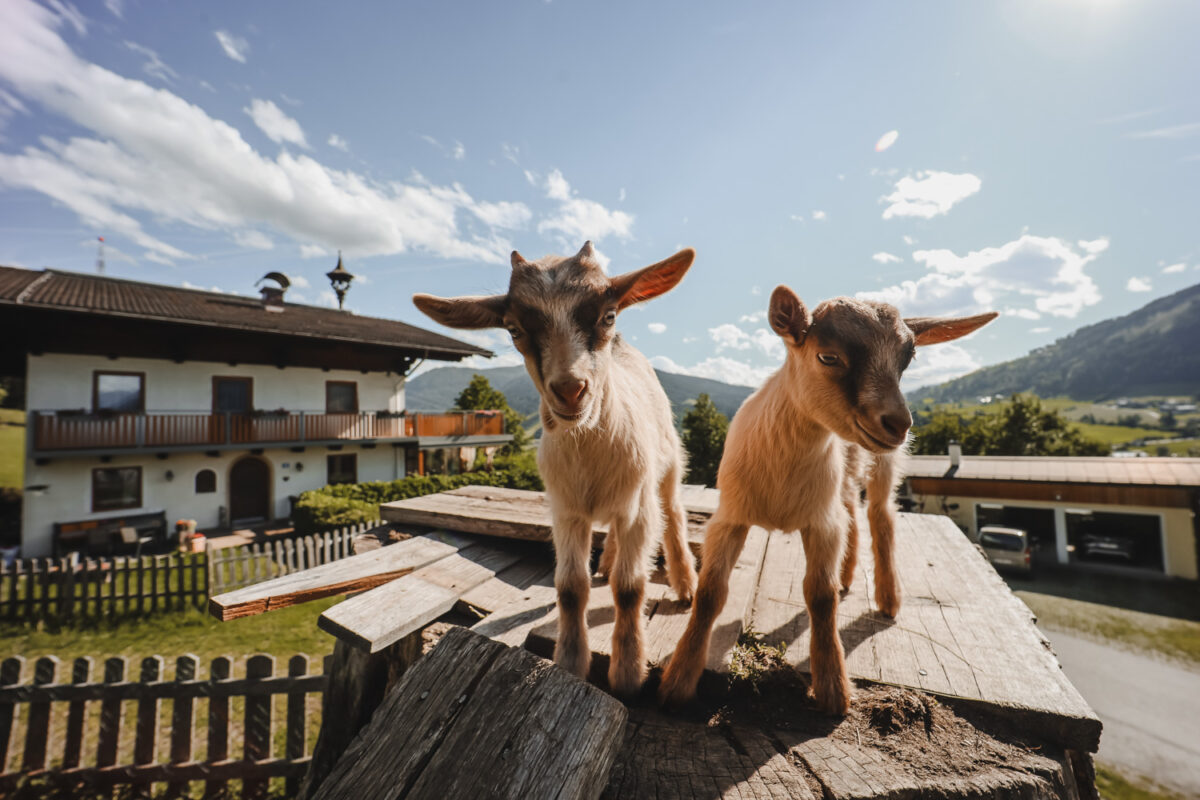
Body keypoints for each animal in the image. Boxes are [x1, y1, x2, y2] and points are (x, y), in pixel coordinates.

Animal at [412, 242, 699, 695]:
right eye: (513, 329)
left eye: (608, 315)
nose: (570, 389)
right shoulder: (566, 511)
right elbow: (569, 588)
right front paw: (570, 661)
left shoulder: (638, 507)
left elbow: (630, 588)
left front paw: (627, 672)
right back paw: (607, 562)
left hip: (667, 463)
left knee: (673, 515)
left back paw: (686, 584)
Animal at [658, 286, 997, 713]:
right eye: (828, 357)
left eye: (906, 362)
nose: (898, 424)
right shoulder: (731, 517)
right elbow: (709, 593)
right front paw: (678, 681)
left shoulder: (821, 523)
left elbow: (821, 597)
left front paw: (833, 689)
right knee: (851, 508)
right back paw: (849, 574)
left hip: (882, 462)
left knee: (880, 515)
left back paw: (888, 597)